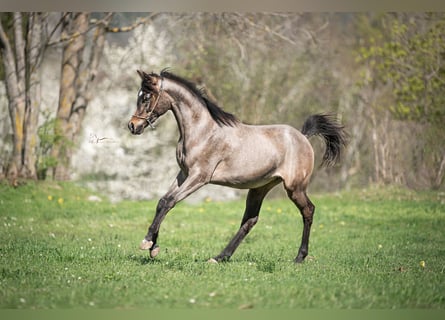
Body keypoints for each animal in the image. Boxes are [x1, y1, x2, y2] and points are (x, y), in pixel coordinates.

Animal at [126, 69, 346, 262]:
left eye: (146, 97)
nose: (133, 126)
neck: (202, 131)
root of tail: (303, 137)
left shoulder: (199, 177)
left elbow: (169, 202)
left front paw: (147, 243)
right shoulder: (183, 174)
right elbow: (162, 201)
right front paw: (153, 247)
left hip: (295, 188)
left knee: (308, 211)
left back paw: (300, 257)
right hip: (259, 188)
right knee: (250, 220)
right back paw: (220, 257)